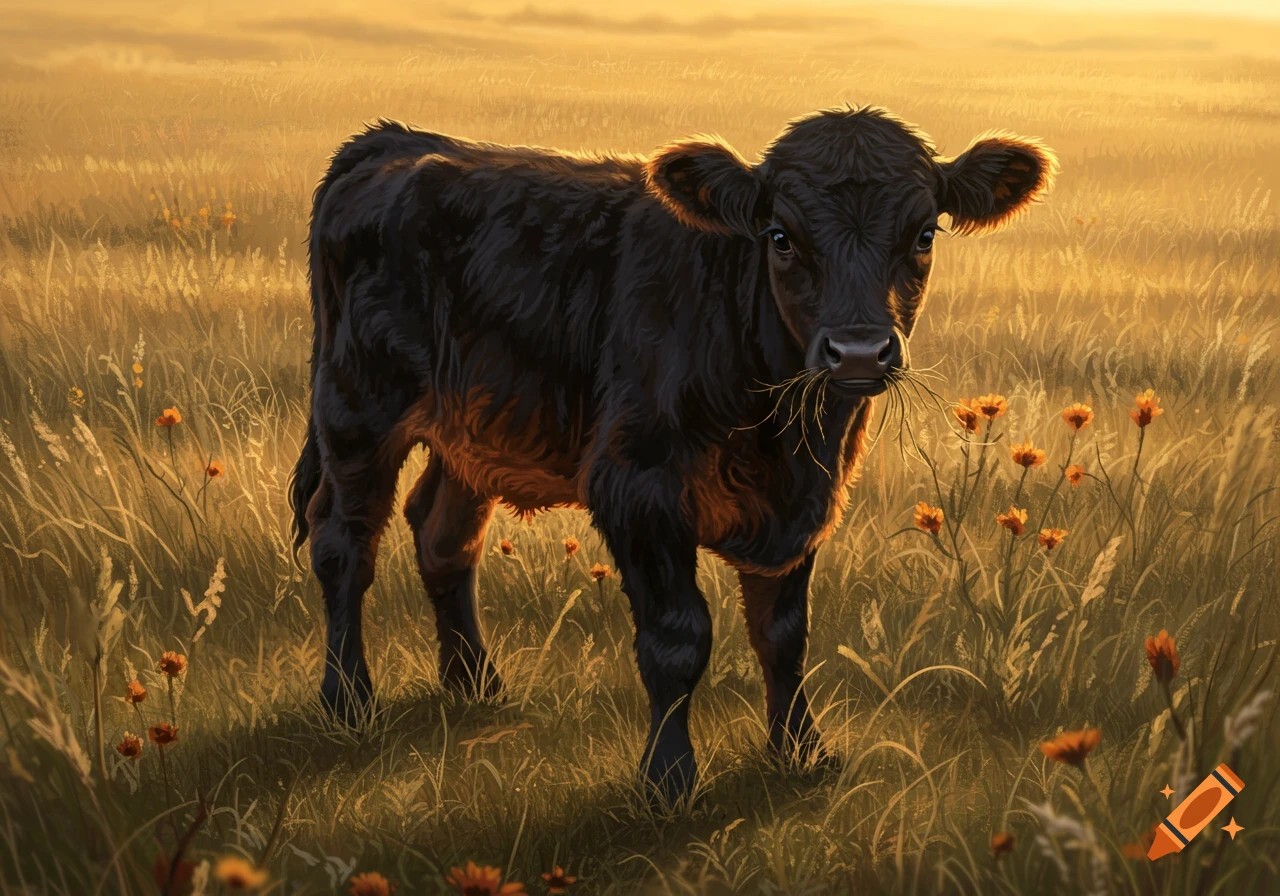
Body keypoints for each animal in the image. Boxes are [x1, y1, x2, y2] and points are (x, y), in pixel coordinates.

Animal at [289, 106, 1056, 801]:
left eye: (923, 234)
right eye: (781, 237)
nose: (861, 350)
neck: (783, 432)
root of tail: (395, 141)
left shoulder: (808, 501)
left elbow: (784, 635)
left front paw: (801, 753)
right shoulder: (638, 491)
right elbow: (676, 640)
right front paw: (668, 779)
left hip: (471, 428)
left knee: (444, 537)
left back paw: (476, 686)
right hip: (356, 411)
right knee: (344, 544)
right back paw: (348, 700)